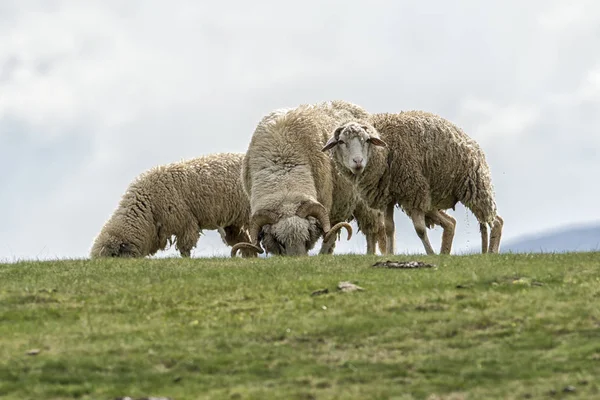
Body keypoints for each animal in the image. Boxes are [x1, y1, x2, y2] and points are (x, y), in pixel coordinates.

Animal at [230, 100, 384, 256]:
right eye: (280, 242)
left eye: (306, 237)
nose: (298, 258)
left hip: (365, 203)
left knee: (370, 230)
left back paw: (369, 253)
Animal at [324, 109, 502, 255]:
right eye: (341, 142)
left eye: (367, 140)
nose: (358, 162)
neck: (385, 150)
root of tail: (468, 139)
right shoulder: (388, 196)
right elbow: (389, 228)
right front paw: (390, 255)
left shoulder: (413, 191)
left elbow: (420, 229)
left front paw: (431, 254)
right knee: (466, 222)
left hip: (476, 186)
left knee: (495, 221)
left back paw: (491, 252)